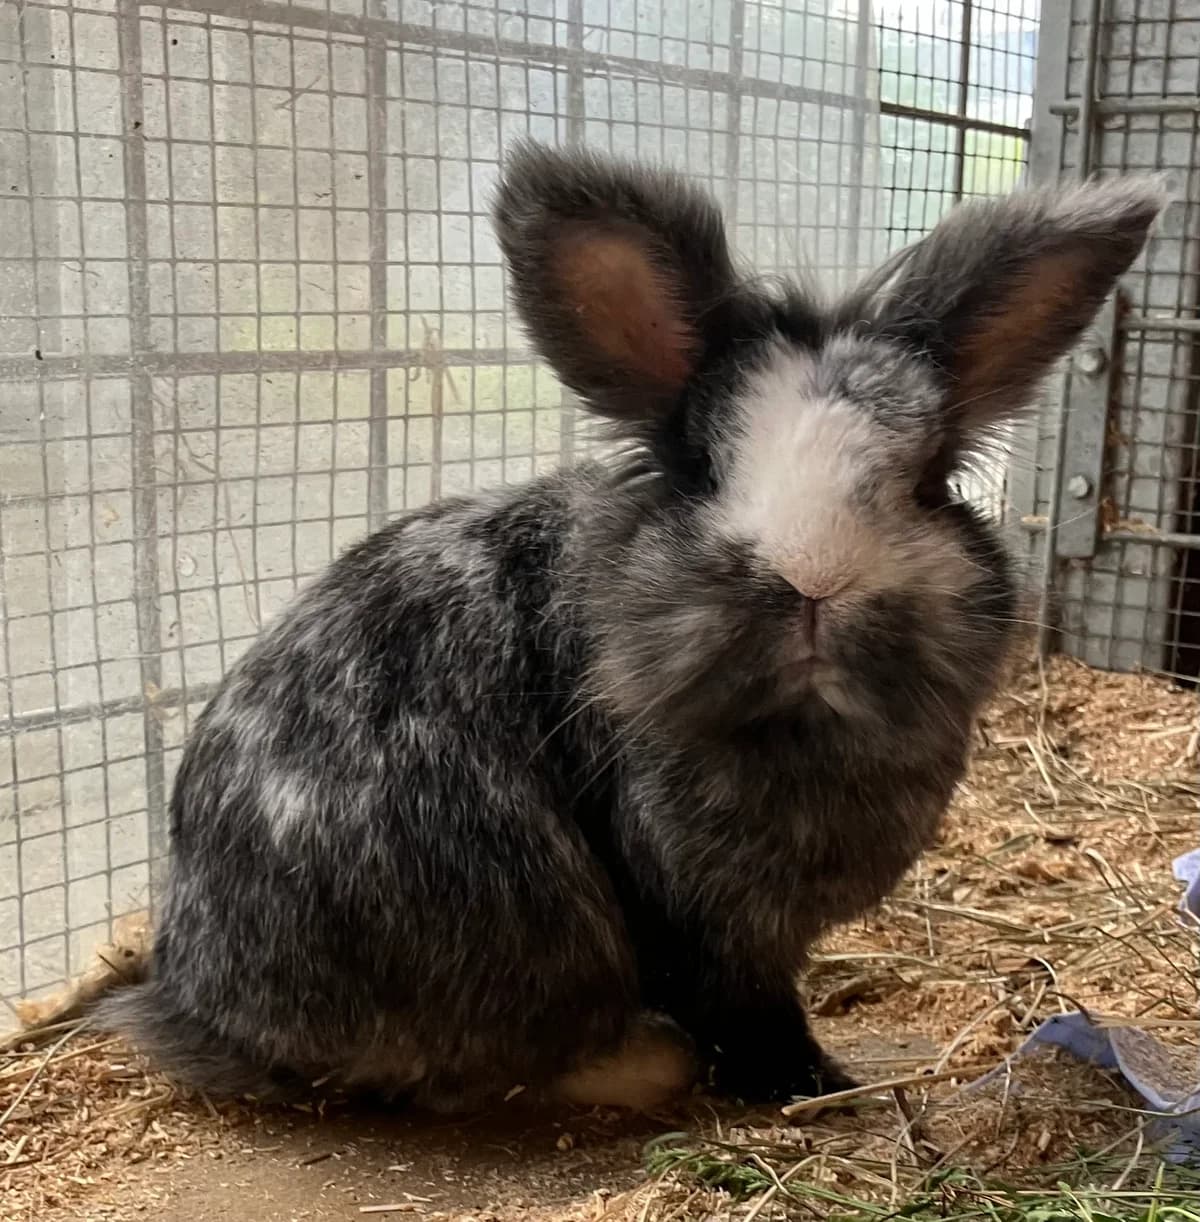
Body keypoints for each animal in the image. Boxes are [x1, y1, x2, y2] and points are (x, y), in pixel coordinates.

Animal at [93, 141, 1160, 1113]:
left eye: (928, 479)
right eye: (703, 467)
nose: (815, 578)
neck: (800, 733)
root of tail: (186, 998)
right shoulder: (699, 921)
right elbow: (745, 1012)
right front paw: (816, 1090)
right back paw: (641, 1067)